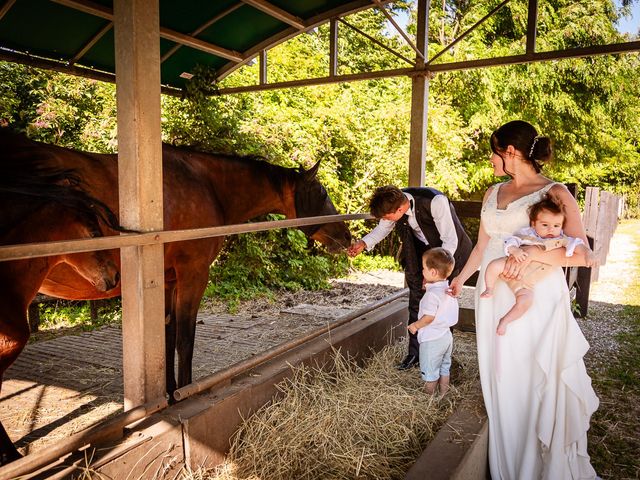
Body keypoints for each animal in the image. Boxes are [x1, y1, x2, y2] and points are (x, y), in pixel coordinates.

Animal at [0, 128, 350, 402]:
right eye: (321, 192)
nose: (346, 235)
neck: (207, 184)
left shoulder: (168, 281)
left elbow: (167, 340)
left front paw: (169, 393)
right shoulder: (193, 275)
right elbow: (184, 340)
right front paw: (185, 393)